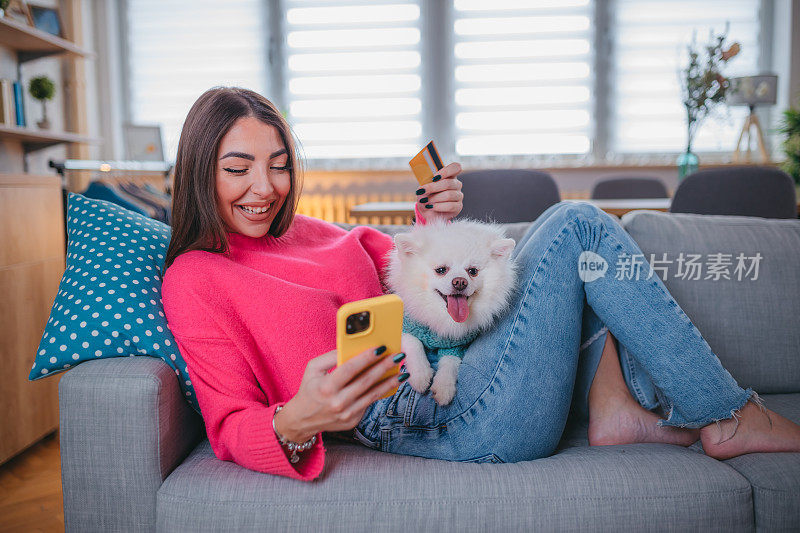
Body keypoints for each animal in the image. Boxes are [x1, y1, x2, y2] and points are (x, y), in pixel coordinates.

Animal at [386, 216, 520, 404]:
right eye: (441, 270)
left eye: (473, 271)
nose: (460, 282)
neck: (443, 317)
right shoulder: (405, 327)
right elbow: (414, 344)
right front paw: (420, 376)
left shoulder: (457, 345)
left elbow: (450, 363)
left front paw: (444, 388)